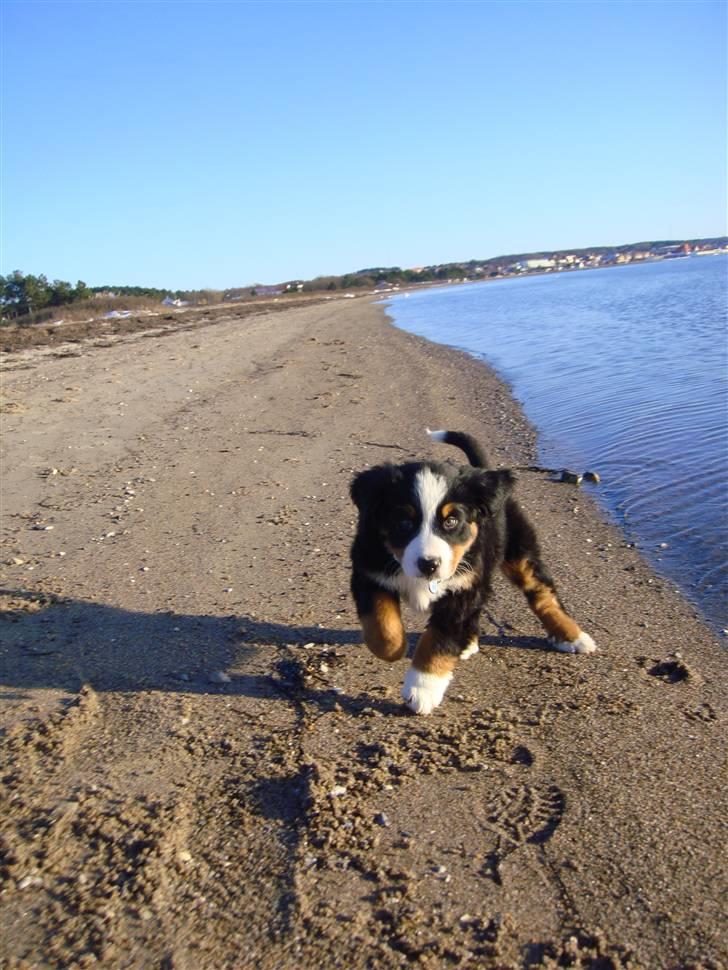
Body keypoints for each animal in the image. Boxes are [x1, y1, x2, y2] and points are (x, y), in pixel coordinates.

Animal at [350, 430, 596, 712]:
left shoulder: (462, 589)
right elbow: (382, 626)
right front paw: (395, 649)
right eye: (403, 522)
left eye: (451, 521)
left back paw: (572, 636)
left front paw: (423, 688)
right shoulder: (368, 572)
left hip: (516, 553)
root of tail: (484, 470)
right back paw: (468, 642)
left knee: (543, 595)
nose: (429, 564)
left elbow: (439, 640)